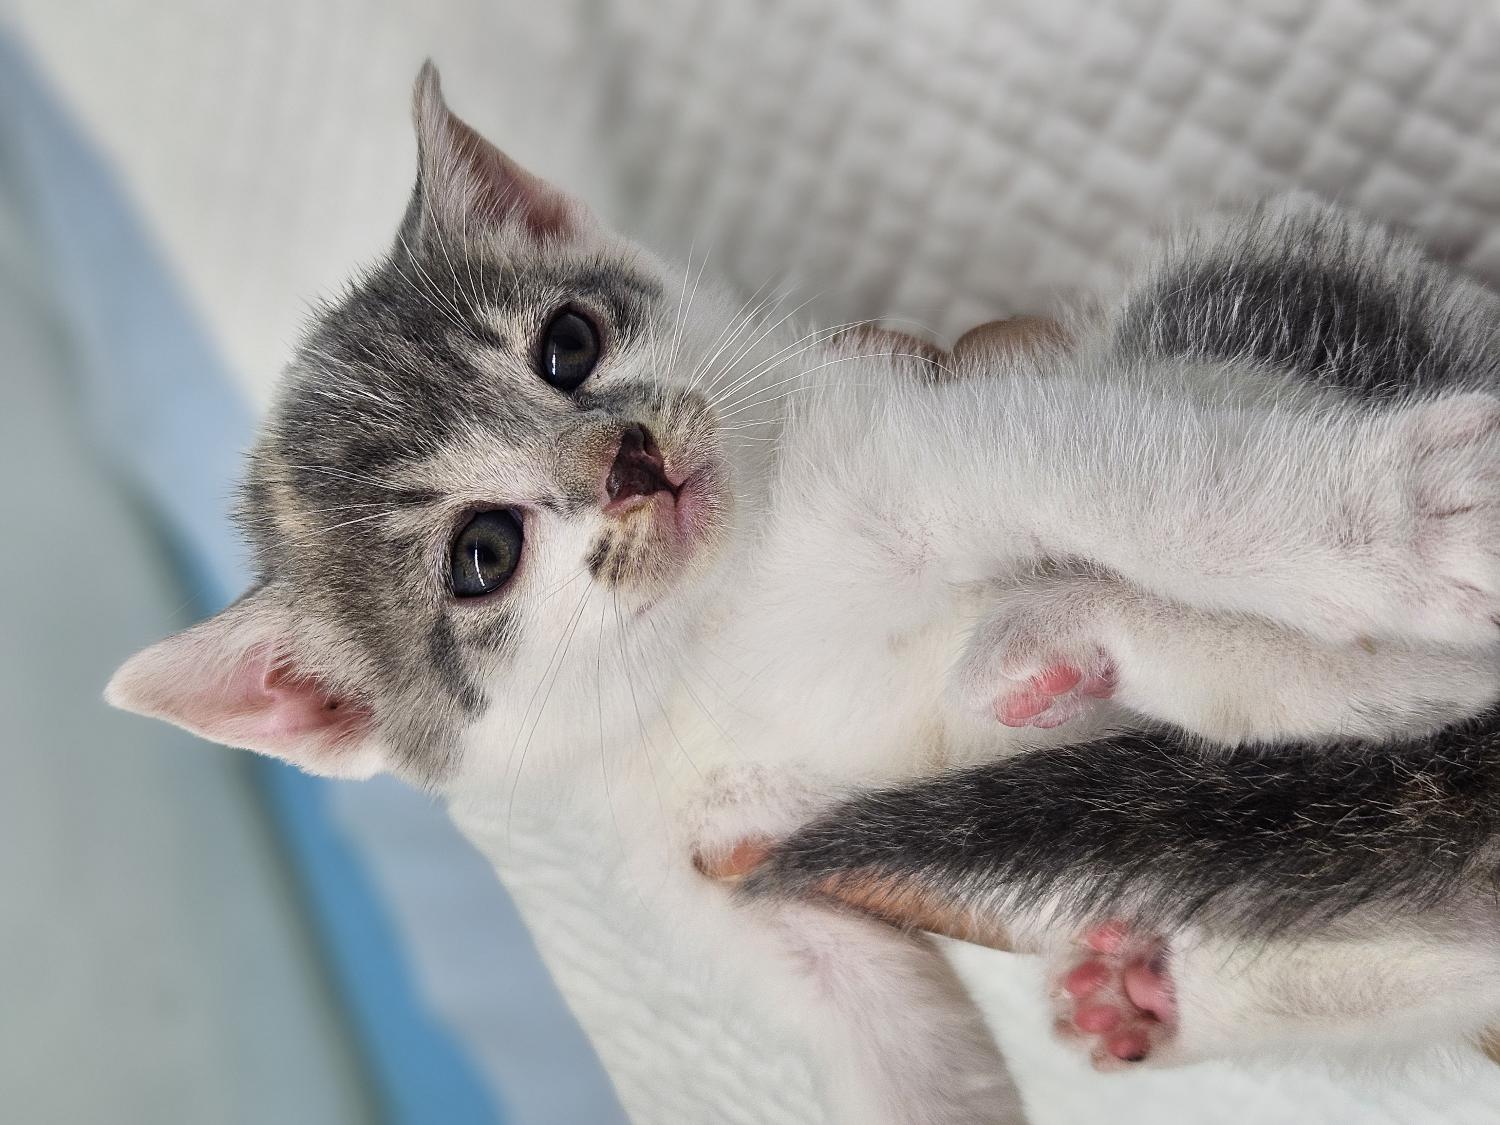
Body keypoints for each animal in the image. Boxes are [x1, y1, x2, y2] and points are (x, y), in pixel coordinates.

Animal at [111, 63, 1500, 1125]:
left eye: (569, 345)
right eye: (483, 554)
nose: (629, 463)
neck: (716, 635)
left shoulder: (949, 431)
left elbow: (1147, 480)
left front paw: (1397, 520)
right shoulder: (727, 874)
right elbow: (884, 1028)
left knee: (1388, 690)